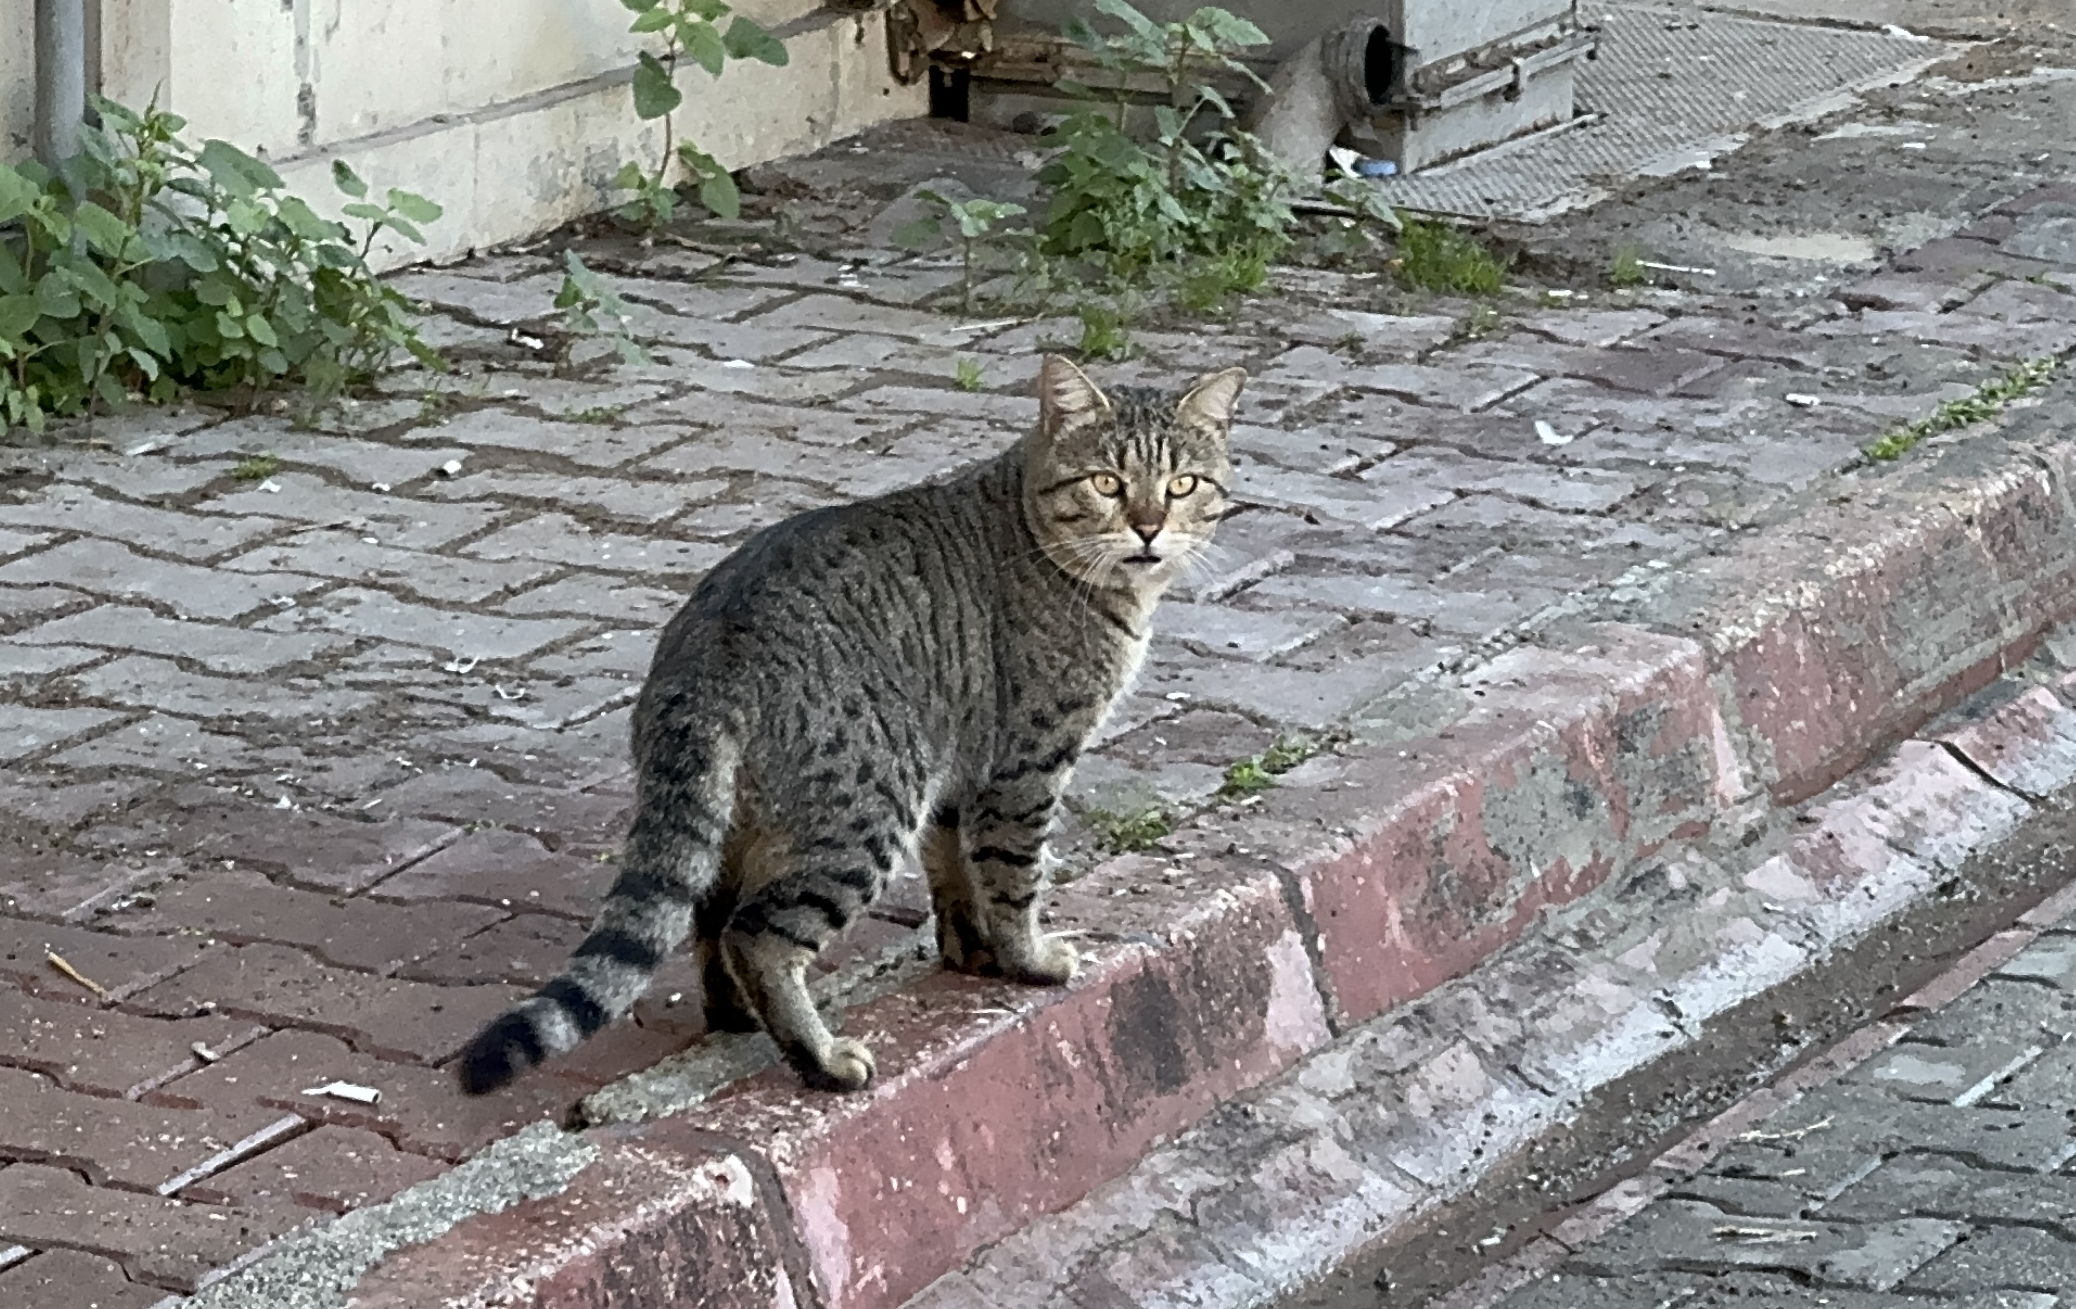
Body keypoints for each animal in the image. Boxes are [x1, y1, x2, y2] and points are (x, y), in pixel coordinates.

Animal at [462, 356, 1237, 1095]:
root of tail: (709, 651)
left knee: (711, 915)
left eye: (1182, 484)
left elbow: (953, 868)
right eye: (1107, 482)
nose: (1148, 527)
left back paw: (739, 1014)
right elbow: (1013, 875)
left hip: (751, 817)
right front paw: (1028, 959)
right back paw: (821, 1057)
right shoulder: (1027, 763)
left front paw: (971, 950)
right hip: (868, 809)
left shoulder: (956, 765)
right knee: (757, 934)